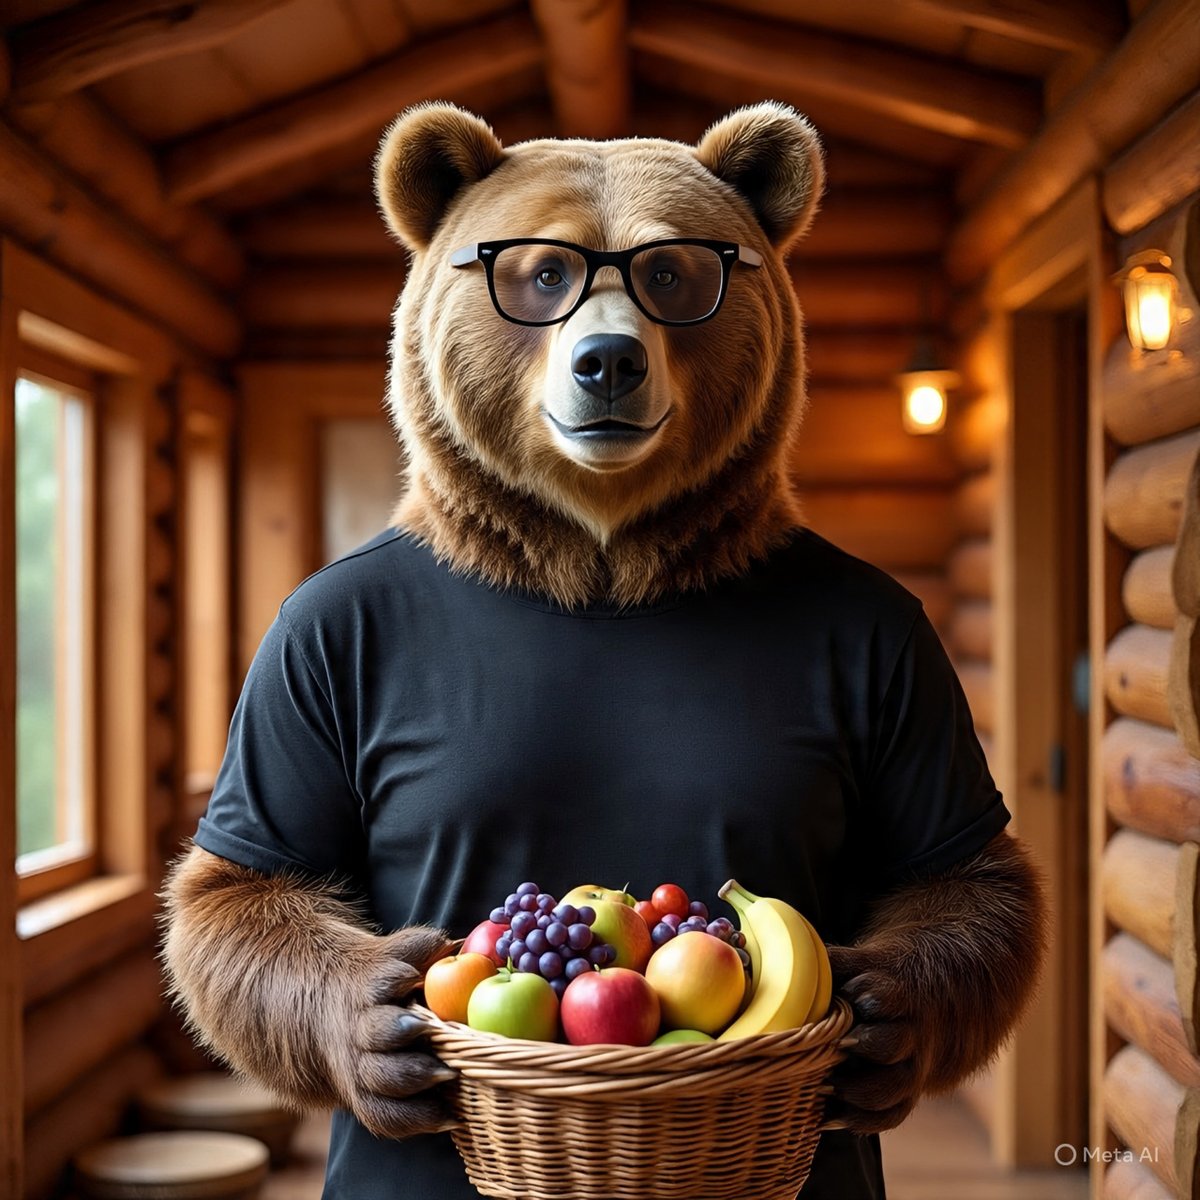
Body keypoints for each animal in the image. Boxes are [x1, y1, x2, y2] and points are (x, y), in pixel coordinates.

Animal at [162, 101, 1047, 1200]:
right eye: (544, 274)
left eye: (671, 273)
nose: (609, 362)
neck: (601, 559)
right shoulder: (308, 647)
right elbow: (243, 887)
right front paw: (377, 1023)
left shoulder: (899, 647)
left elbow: (967, 875)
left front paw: (885, 1016)